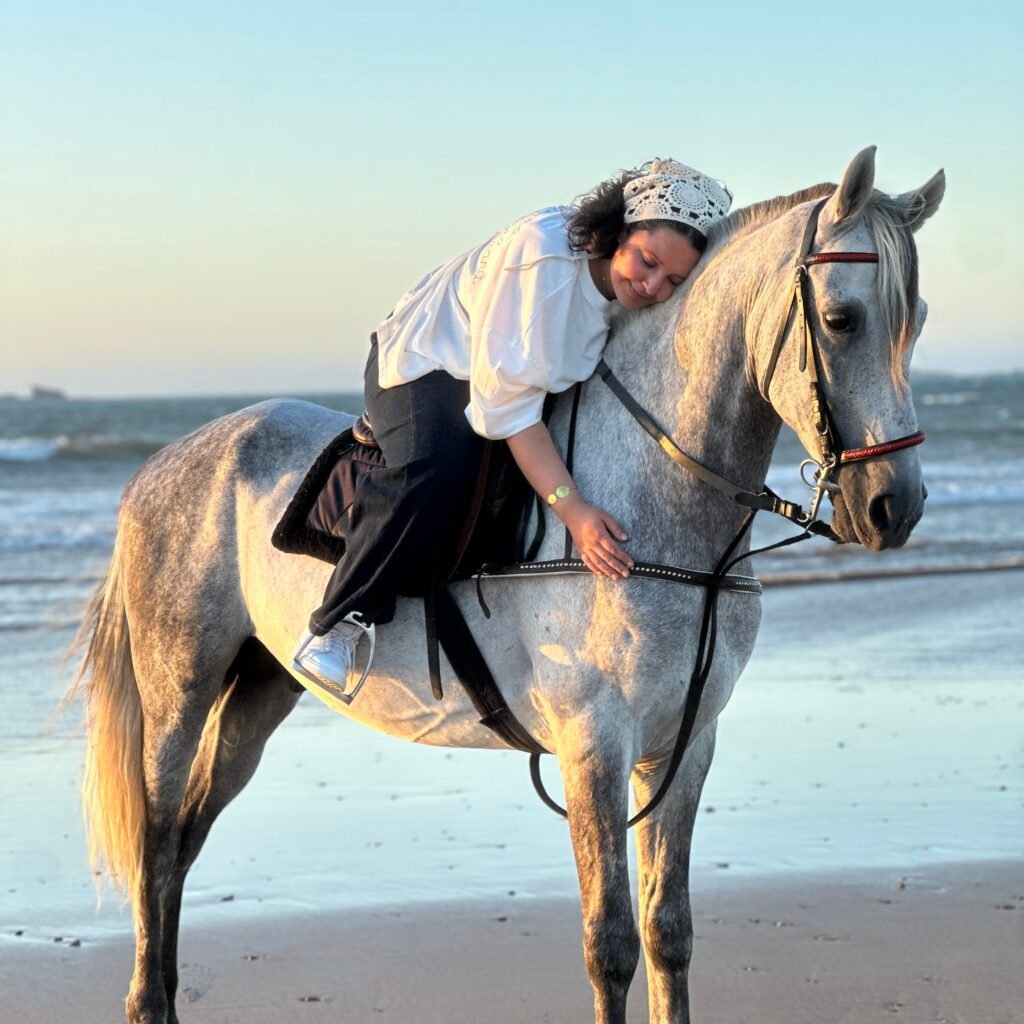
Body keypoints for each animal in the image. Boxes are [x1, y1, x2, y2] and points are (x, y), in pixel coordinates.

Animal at [68, 146, 944, 1024]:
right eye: (841, 319)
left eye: (920, 318)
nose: (894, 506)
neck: (662, 507)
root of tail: (164, 464)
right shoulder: (594, 743)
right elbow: (611, 943)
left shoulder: (687, 742)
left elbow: (668, 929)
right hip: (179, 690)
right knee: (157, 841)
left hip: (258, 689)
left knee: (184, 840)